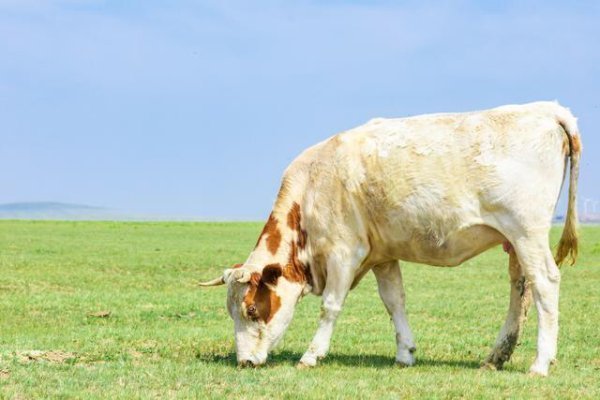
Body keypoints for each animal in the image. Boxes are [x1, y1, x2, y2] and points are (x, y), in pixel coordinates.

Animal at [200, 101, 580, 376]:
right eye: (231, 311)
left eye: (251, 310)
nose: (245, 362)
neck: (311, 190)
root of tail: (546, 108)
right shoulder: (382, 256)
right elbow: (394, 302)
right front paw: (405, 353)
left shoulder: (343, 251)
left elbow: (331, 306)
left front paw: (311, 355)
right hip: (514, 241)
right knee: (521, 291)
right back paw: (495, 357)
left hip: (527, 232)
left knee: (545, 283)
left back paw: (540, 363)